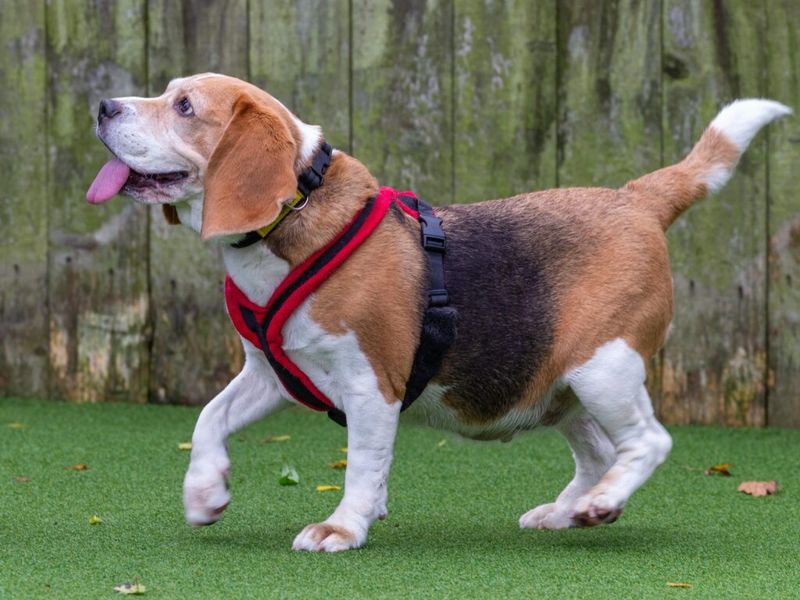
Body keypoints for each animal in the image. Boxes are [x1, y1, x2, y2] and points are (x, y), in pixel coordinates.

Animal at [86, 75, 788, 552]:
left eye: (184, 107)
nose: (102, 105)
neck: (298, 212)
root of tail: (637, 198)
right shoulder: (270, 372)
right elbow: (209, 418)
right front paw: (205, 492)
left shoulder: (372, 385)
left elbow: (361, 464)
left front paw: (343, 527)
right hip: (561, 385)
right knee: (597, 453)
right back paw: (571, 509)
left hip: (604, 367)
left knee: (648, 441)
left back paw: (602, 502)